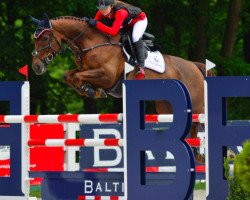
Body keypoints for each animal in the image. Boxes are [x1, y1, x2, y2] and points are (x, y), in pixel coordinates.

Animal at [30, 14, 213, 163]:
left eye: (44, 38)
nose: (36, 67)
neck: (91, 43)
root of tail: (194, 66)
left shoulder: (107, 76)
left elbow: (78, 77)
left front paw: (91, 90)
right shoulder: (85, 71)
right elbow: (68, 76)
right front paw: (89, 90)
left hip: (197, 105)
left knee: (200, 122)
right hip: (165, 107)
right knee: (191, 127)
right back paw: (197, 154)